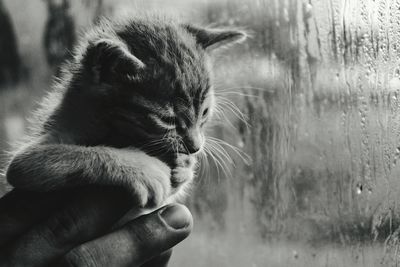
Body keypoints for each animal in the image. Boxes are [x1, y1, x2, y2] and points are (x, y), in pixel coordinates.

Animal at [5, 15, 247, 210]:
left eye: (204, 113)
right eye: (167, 120)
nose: (195, 147)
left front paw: (185, 167)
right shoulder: (26, 161)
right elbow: (75, 153)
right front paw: (142, 169)